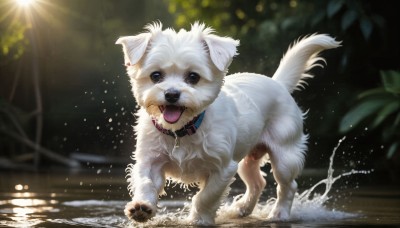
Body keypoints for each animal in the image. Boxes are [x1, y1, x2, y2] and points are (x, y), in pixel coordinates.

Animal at [115, 22, 340, 225]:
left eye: (193, 77)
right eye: (156, 75)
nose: (171, 94)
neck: (182, 131)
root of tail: (278, 83)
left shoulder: (222, 168)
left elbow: (206, 197)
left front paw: (199, 219)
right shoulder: (150, 161)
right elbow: (145, 182)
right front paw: (142, 207)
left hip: (285, 155)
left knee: (288, 185)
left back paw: (279, 213)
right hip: (247, 159)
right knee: (258, 182)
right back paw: (242, 209)